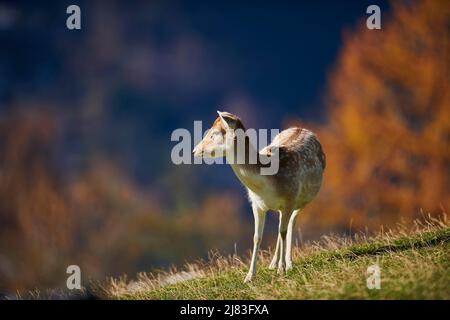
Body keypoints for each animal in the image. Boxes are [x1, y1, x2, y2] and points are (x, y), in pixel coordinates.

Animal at [192, 111, 326, 282]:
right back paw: (273, 264)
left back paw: (288, 263)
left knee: (290, 225)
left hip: (303, 200)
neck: (268, 184)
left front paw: (282, 269)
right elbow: (257, 237)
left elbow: (283, 232)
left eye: (213, 134)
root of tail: (304, 129)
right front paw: (249, 276)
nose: (194, 151)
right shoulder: (256, 204)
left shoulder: (290, 199)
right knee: (281, 227)